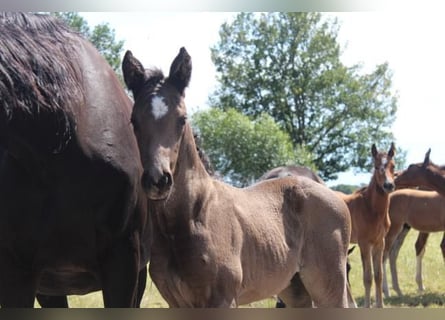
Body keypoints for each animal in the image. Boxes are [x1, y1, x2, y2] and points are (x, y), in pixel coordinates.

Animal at [123, 47, 352, 308]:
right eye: (134, 121)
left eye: (182, 119)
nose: (158, 180)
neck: (191, 217)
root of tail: (334, 196)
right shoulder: (176, 303)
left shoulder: (223, 299)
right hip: (295, 288)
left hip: (329, 285)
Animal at [334, 143, 394, 308]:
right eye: (376, 166)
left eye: (393, 166)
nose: (388, 185)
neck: (371, 208)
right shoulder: (364, 243)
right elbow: (368, 277)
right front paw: (367, 306)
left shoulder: (380, 242)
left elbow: (378, 275)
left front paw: (380, 305)